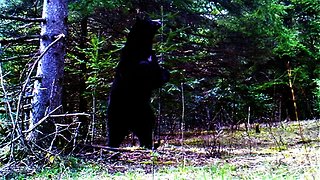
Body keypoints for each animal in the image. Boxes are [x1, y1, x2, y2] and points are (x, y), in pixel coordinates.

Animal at [106, 16, 169, 149]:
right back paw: (112, 145)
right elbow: (145, 72)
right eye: (150, 21)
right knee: (115, 131)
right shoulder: (131, 65)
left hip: (144, 113)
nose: (159, 20)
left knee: (146, 128)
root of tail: (130, 121)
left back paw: (150, 144)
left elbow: (156, 78)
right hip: (117, 112)